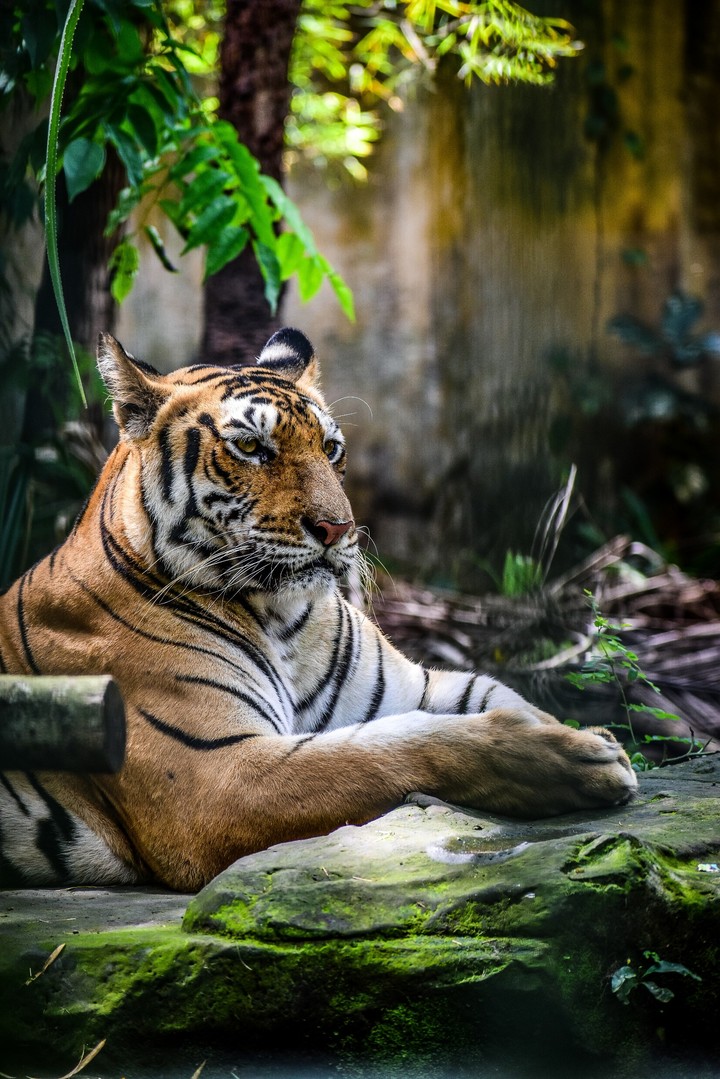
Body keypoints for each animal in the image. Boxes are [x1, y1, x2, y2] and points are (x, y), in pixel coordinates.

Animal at [0, 328, 637, 891]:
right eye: (250, 447)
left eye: (330, 449)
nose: (337, 528)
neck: (283, 618)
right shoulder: (215, 778)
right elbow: (396, 747)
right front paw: (579, 758)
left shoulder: (411, 685)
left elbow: (493, 694)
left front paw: (583, 735)